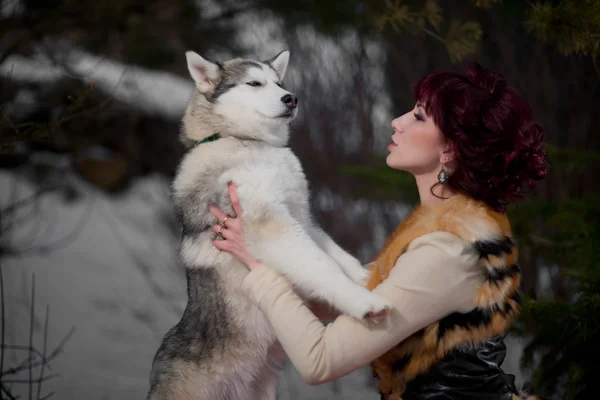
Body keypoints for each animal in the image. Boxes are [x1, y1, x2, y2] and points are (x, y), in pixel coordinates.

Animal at [148, 50, 386, 400]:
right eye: (254, 83)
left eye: (279, 83)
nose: (291, 98)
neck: (244, 140)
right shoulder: (273, 224)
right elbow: (322, 266)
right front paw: (363, 302)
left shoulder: (300, 216)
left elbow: (339, 257)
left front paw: (366, 278)